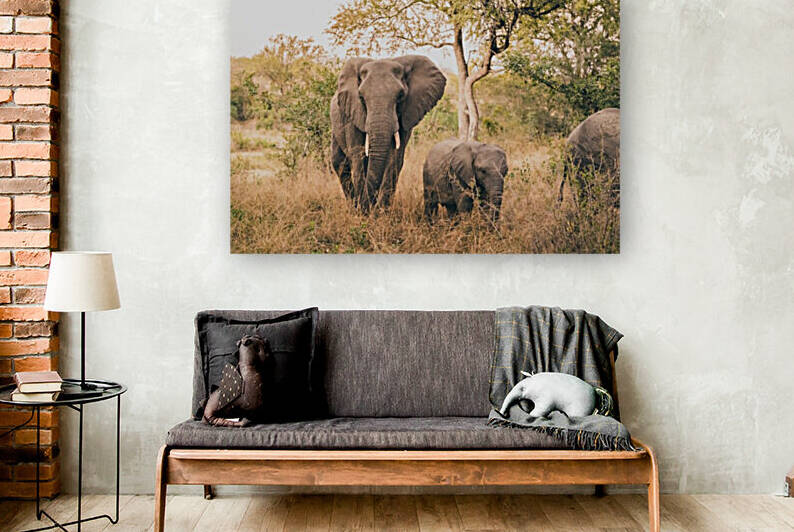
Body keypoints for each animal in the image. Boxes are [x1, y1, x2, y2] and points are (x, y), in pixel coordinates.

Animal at [331, 55, 446, 213]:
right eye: (361, 97)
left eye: (401, 96)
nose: (368, 206)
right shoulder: (351, 115)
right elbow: (358, 157)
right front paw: (363, 212)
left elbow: (394, 158)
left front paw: (380, 212)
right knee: (340, 164)